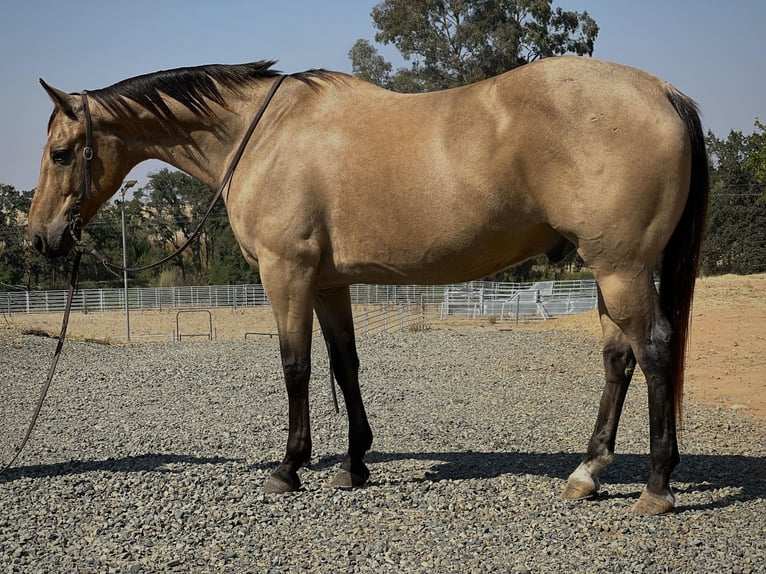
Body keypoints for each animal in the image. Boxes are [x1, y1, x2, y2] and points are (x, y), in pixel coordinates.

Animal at [27, 57, 712, 516]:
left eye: (61, 152)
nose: (39, 238)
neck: (264, 135)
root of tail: (665, 91)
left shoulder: (285, 273)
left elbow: (296, 367)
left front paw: (289, 467)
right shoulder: (329, 283)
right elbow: (344, 365)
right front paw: (353, 463)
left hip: (620, 267)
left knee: (653, 350)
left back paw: (656, 486)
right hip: (611, 270)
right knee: (618, 359)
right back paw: (587, 472)